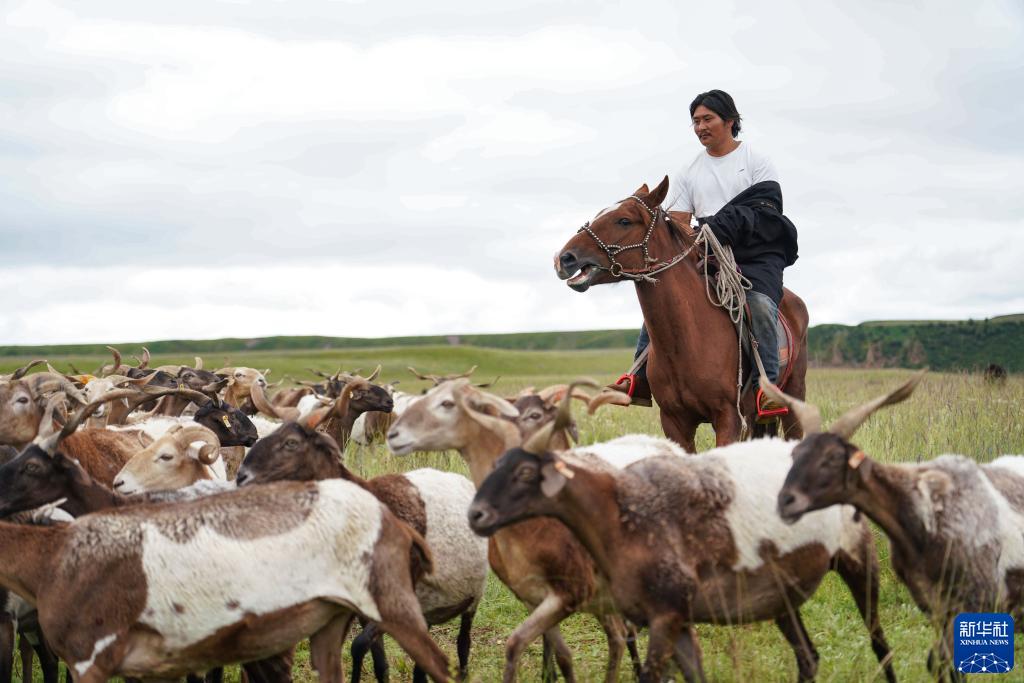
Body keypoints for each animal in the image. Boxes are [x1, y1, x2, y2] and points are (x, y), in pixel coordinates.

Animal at [235, 417, 487, 683]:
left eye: (291, 443)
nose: (241, 476)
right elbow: (378, 662)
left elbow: (359, 646)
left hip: (473, 596)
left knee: (463, 641)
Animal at [466, 382, 897, 683]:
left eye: (526, 472)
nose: (476, 514)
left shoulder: (661, 616)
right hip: (782, 597)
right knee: (808, 656)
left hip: (859, 566)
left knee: (880, 642)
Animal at [552, 176, 806, 450]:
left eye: (624, 220)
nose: (564, 258)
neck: (689, 341)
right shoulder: (674, 421)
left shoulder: (728, 418)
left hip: (792, 404)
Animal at [770, 370, 1024, 679]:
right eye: (795, 454)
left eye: (833, 457)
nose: (785, 500)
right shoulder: (934, 605)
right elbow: (938, 663)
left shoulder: (978, 599)